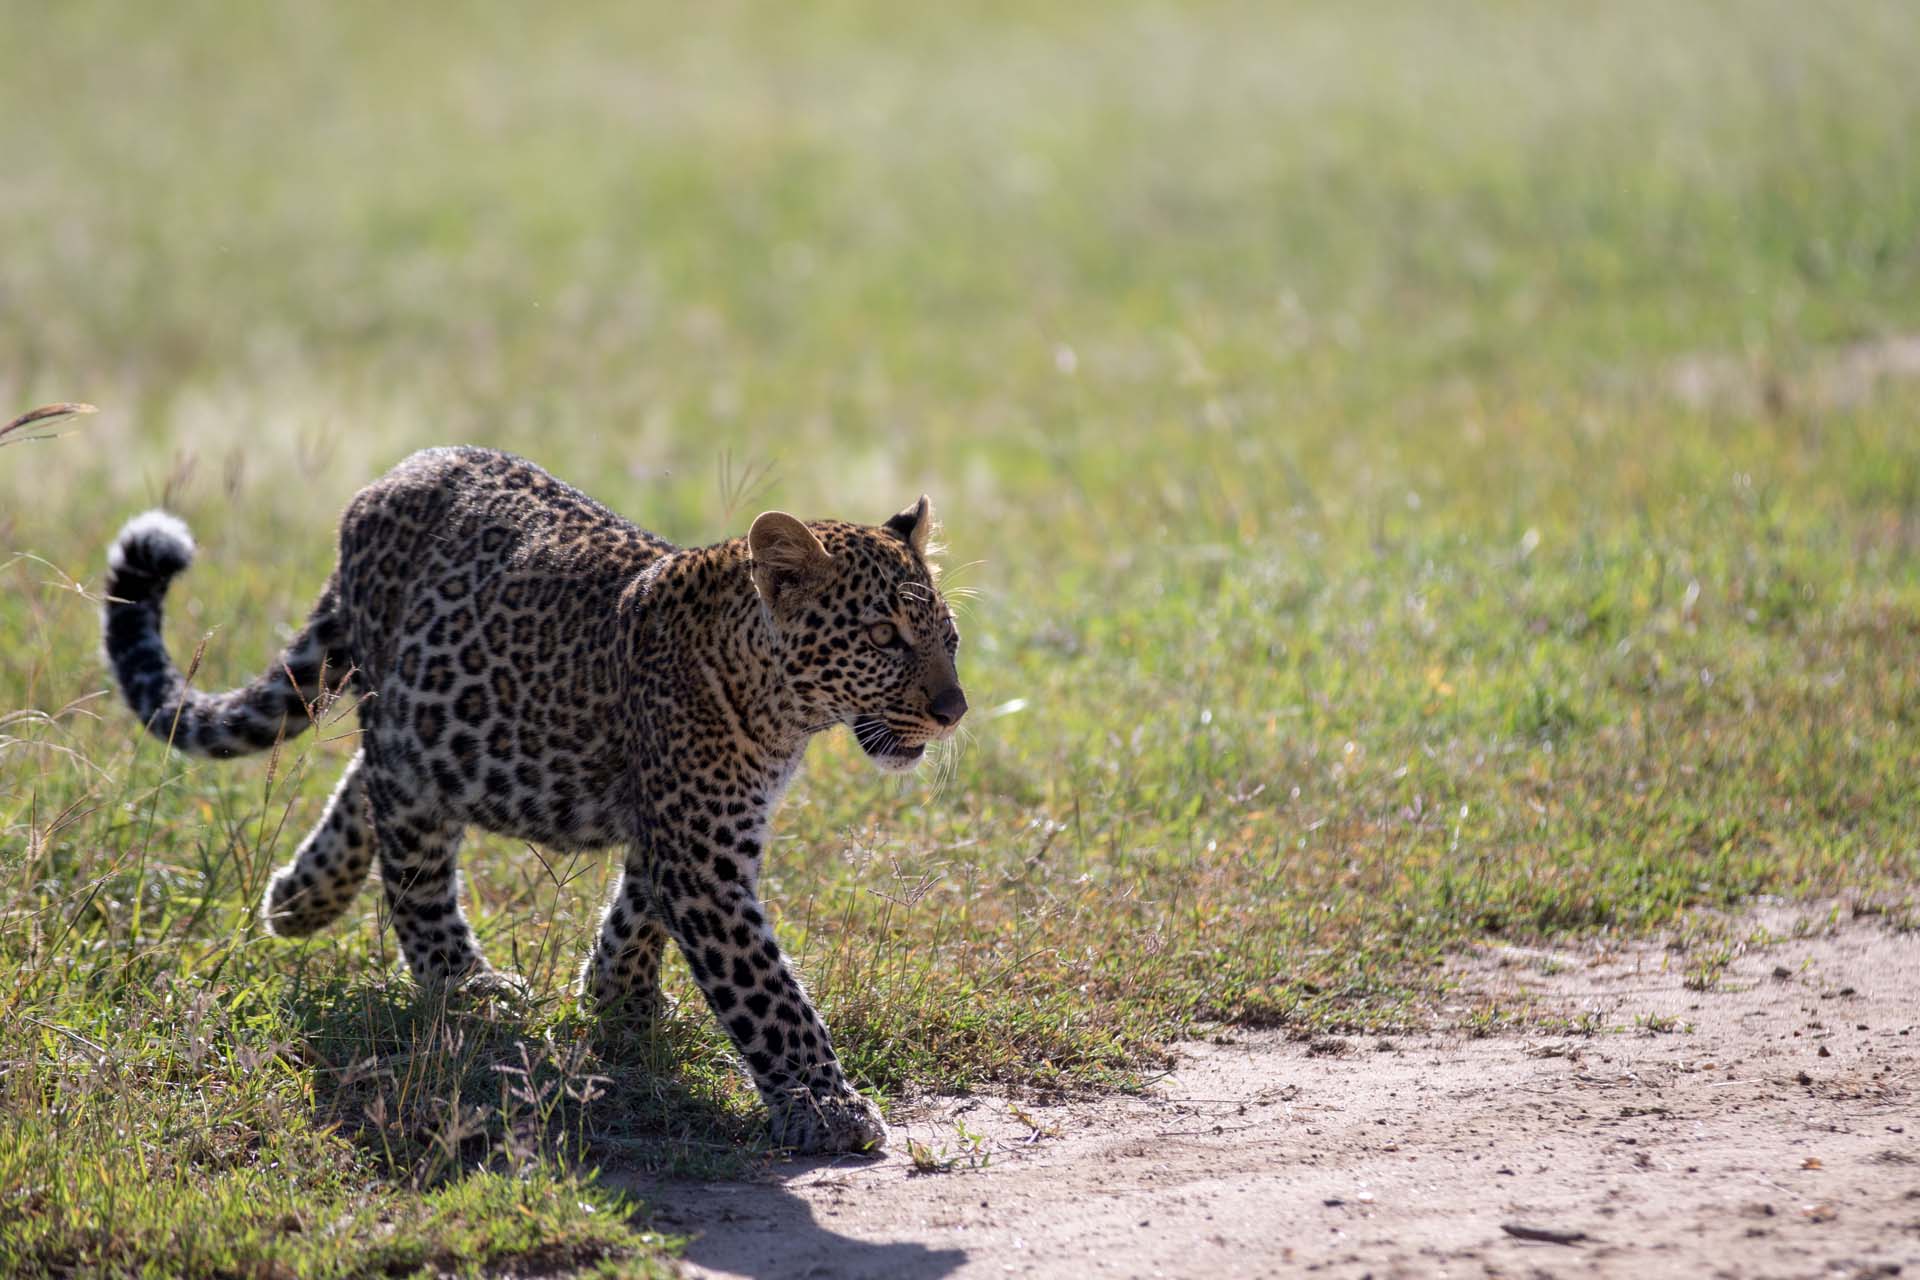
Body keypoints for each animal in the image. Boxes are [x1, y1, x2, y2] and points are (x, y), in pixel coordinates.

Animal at [101, 445, 967, 1154]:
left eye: (948, 638)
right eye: (884, 638)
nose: (954, 710)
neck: (781, 703)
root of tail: (393, 477)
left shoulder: (696, 825)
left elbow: (638, 910)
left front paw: (618, 1000)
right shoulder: (702, 854)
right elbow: (767, 989)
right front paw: (827, 1106)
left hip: (421, 729)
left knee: (367, 785)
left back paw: (301, 898)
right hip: (410, 730)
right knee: (411, 861)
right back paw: (463, 982)